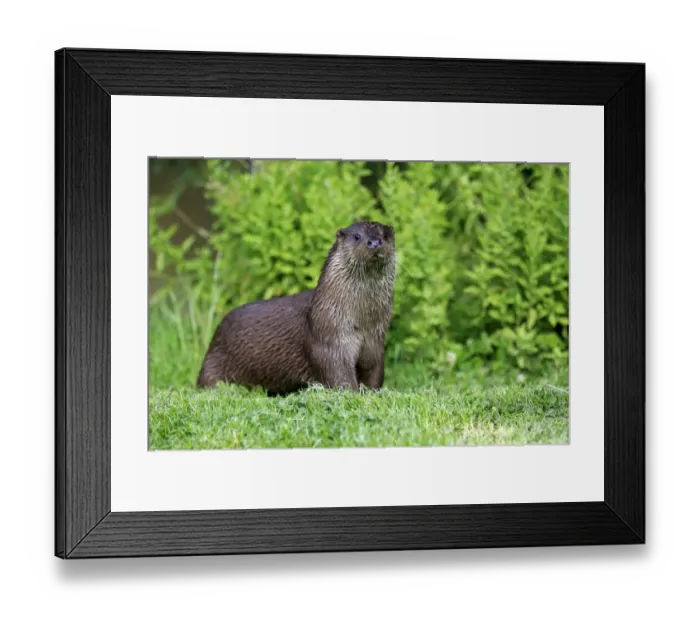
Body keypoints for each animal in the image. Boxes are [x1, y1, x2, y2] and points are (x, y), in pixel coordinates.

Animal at [197, 221, 396, 395]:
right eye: (357, 236)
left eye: (385, 235)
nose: (375, 242)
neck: (361, 322)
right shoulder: (328, 341)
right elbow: (339, 375)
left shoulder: (375, 343)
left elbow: (374, 373)